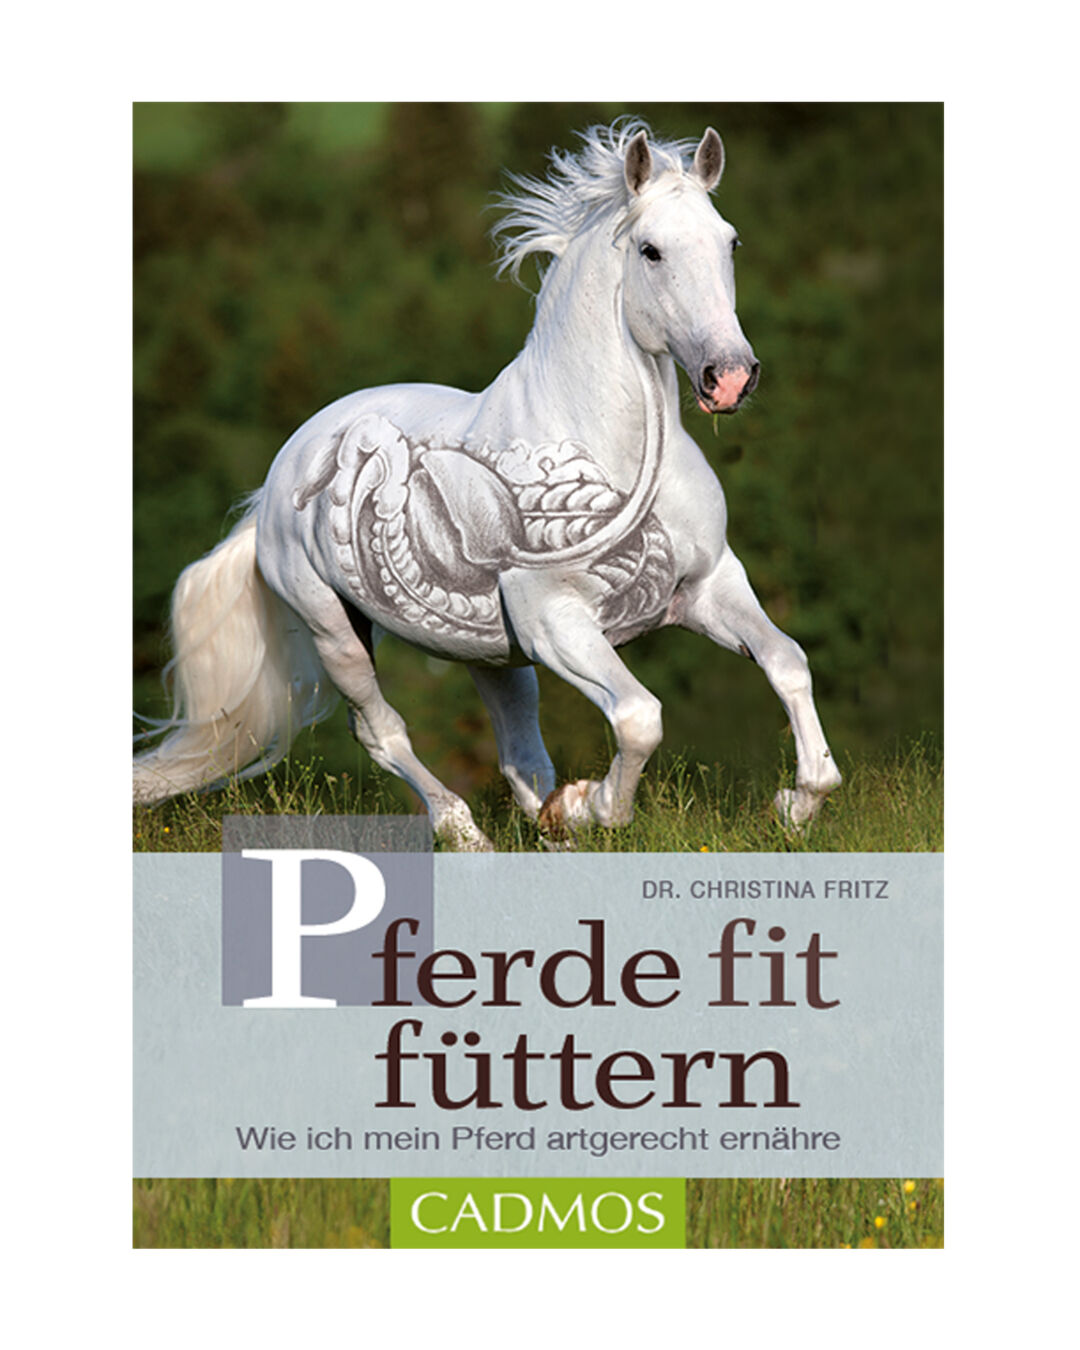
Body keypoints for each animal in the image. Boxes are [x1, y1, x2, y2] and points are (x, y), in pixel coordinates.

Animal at [133, 121, 842, 849]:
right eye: (651, 250)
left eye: (730, 241)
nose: (729, 377)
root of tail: (277, 482)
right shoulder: (556, 621)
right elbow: (640, 717)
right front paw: (591, 806)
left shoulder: (707, 585)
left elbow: (788, 662)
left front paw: (795, 806)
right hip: (335, 629)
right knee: (382, 732)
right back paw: (468, 833)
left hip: (490, 656)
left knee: (519, 753)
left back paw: (546, 824)